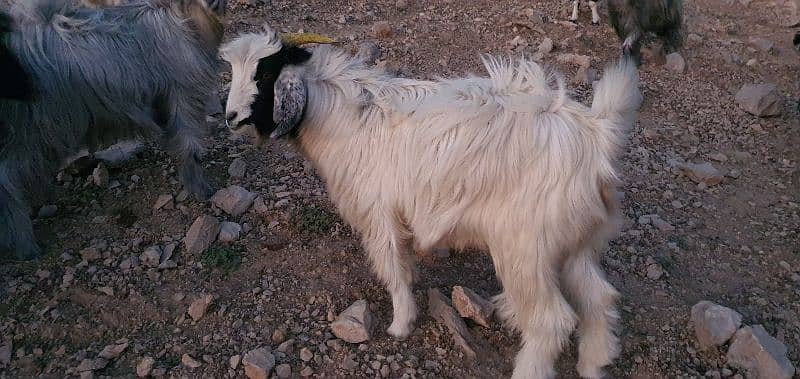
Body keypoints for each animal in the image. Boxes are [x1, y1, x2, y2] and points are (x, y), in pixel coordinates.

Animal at [0, 0, 222, 260]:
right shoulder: (184, 96)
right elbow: (189, 146)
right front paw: (200, 188)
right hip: (35, 133)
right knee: (7, 179)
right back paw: (25, 243)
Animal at [220, 24, 644, 379]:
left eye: (264, 75)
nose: (230, 117)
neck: (345, 115)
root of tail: (597, 135)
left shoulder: (378, 214)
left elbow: (394, 270)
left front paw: (400, 325)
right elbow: (404, 265)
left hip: (525, 250)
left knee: (549, 321)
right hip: (576, 243)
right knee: (599, 299)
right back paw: (594, 364)